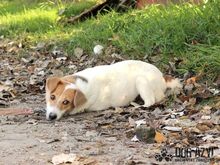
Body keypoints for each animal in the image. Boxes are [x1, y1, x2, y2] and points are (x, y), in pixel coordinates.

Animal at [45, 60, 182, 120]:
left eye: (66, 102)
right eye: (52, 97)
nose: (52, 116)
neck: (80, 84)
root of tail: (163, 77)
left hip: (141, 81)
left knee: (151, 101)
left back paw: (136, 107)